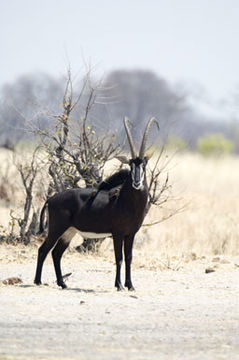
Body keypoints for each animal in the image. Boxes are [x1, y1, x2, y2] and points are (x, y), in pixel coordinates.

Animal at [33, 116, 157, 292]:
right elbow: (119, 258)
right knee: (43, 250)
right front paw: (119, 285)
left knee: (56, 253)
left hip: (69, 232)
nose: (137, 182)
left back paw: (62, 283)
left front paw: (130, 285)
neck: (127, 202)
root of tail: (51, 199)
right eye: (131, 165)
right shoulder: (118, 233)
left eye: (144, 165)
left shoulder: (131, 234)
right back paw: (38, 281)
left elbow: (129, 258)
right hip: (57, 229)